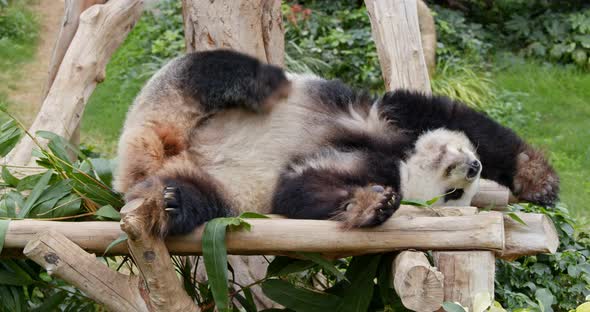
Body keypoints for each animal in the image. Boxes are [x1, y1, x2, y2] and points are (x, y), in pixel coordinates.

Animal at [113, 49, 560, 236]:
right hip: (176, 98)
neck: (402, 157)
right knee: (216, 71)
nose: (472, 168)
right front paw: (539, 180)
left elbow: (298, 189)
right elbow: (465, 122)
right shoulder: (394, 116)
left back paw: (170, 203)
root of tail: (155, 152)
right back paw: (264, 82)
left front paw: (370, 206)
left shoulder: (375, 167)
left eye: (455, 196)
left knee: (199, 198)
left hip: (224, 191)